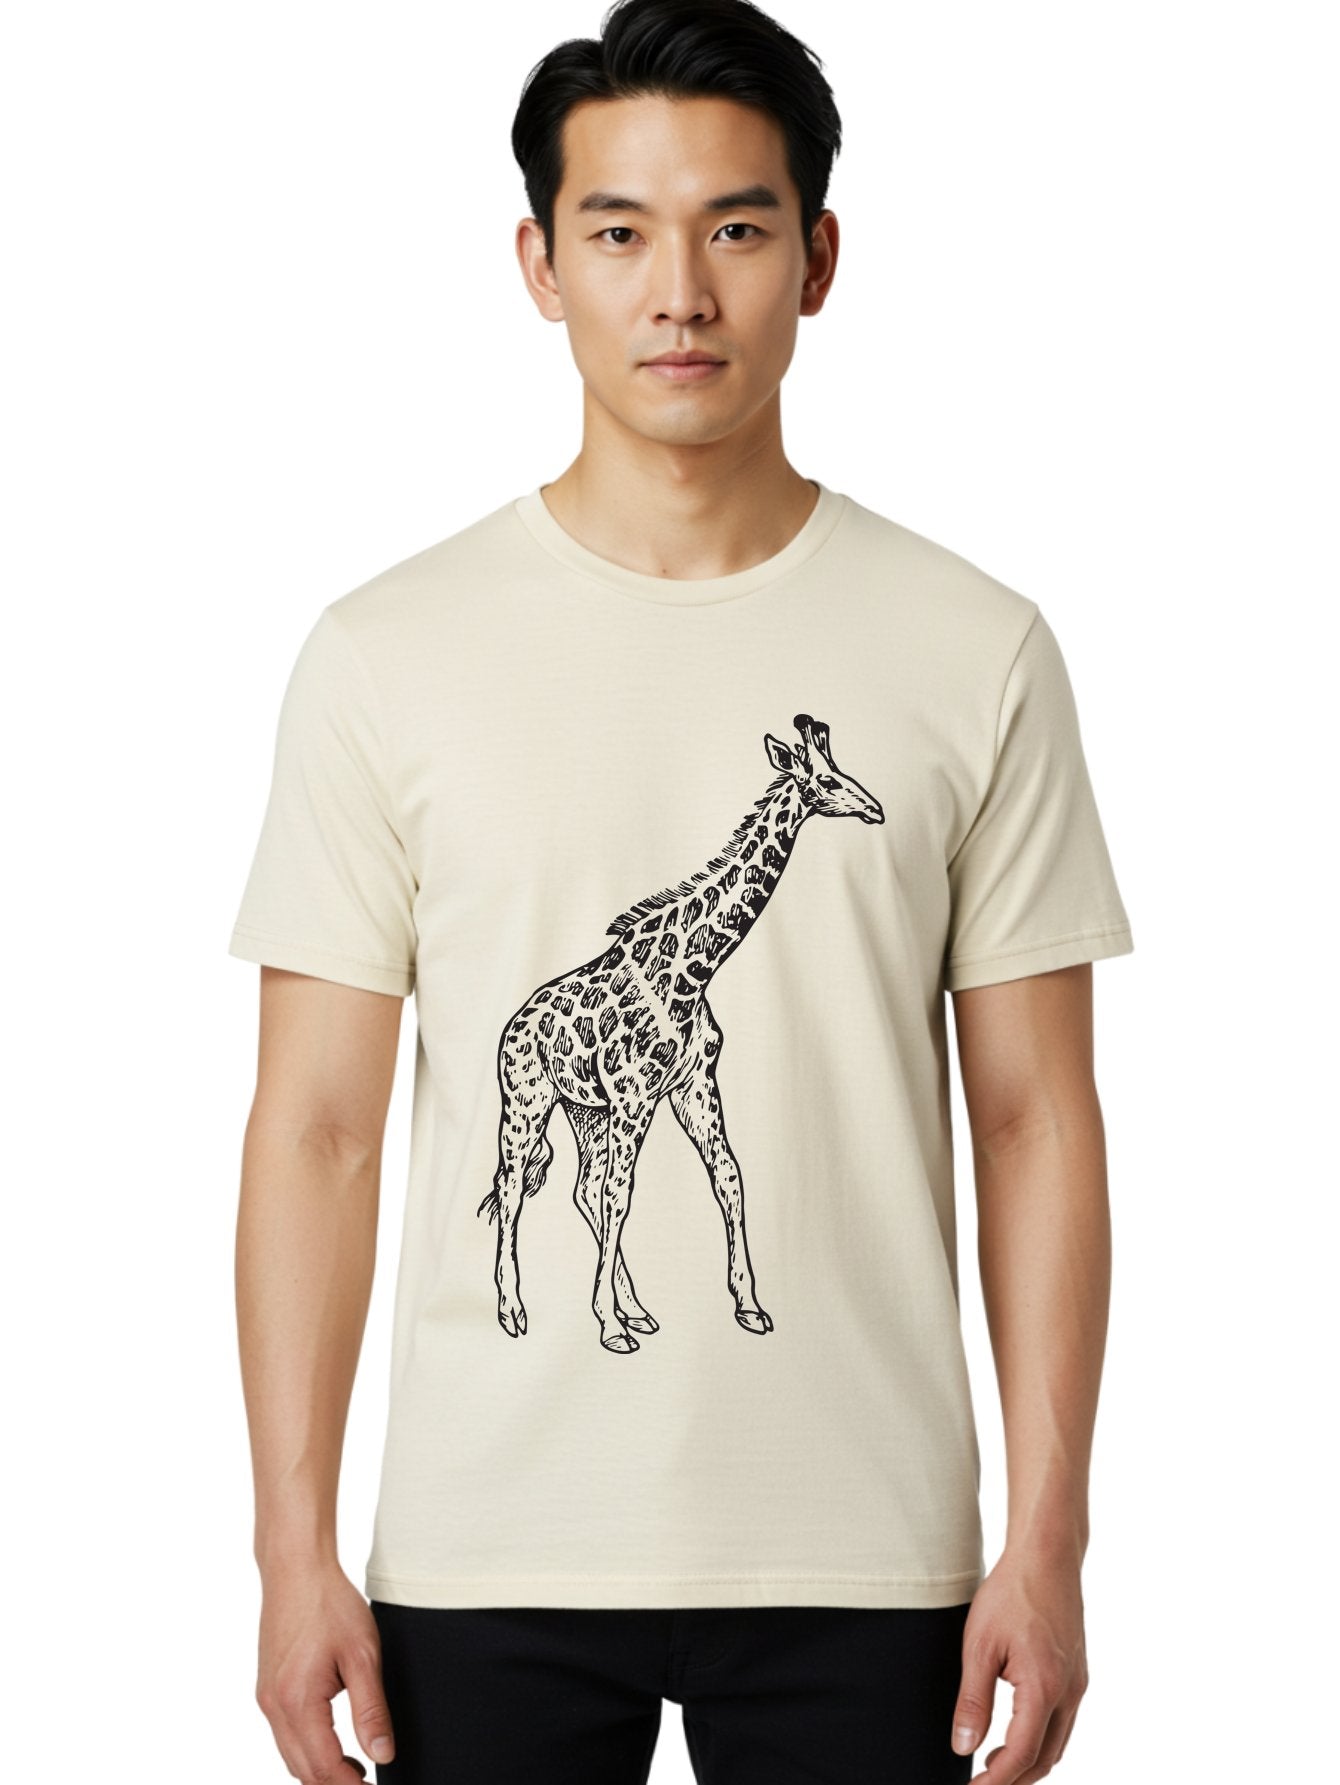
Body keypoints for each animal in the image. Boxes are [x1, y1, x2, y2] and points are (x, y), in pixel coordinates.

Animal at [477, 712, 885, 1354]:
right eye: (824, 780)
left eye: (841, 770)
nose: (876, 808)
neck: (696, 971)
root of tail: (512, 1025)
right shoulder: (636, 1097)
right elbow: (622, 1196)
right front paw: (607, 1327)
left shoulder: (693, 1087)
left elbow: (729, 1178)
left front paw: (748, 1306)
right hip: (527, 1101)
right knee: (516, 1188)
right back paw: (515, 1312)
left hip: (584, 1110)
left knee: (582, 1189)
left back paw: (636, 1308)